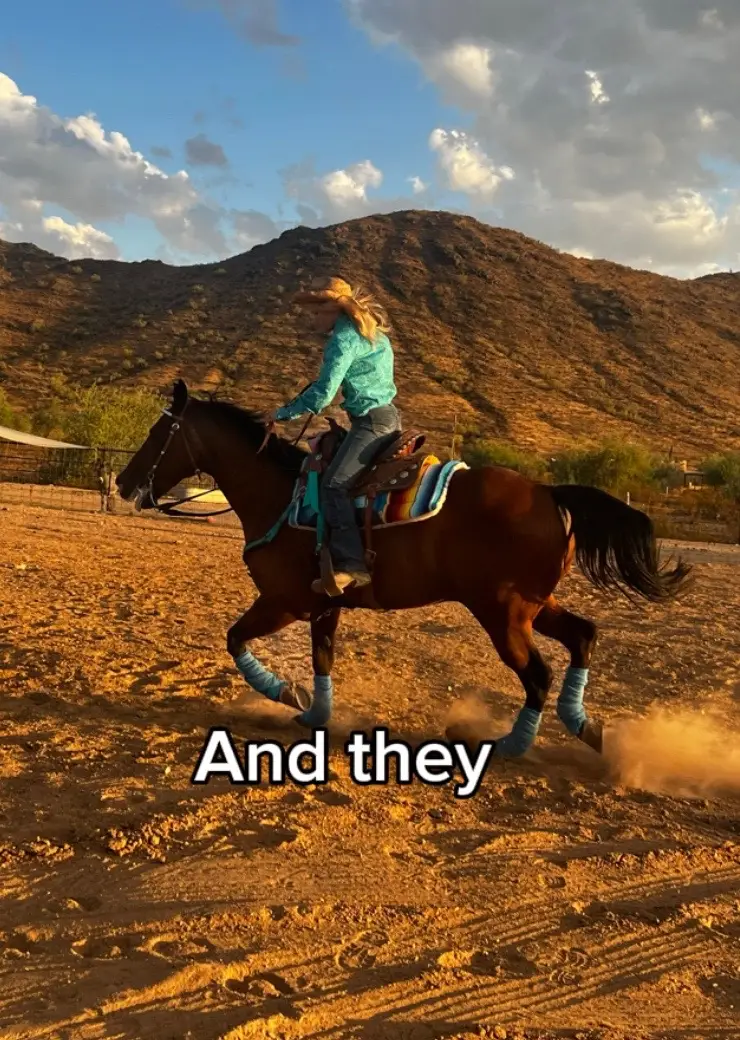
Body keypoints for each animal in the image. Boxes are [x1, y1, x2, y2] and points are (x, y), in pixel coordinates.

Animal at [116, 382, 694, 757]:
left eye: (158, 431)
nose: (123, 482)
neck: (279, 494)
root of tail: (549, 491)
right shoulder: (324, 605)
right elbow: (322, 659)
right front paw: (315, 713)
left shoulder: (284, 602)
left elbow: (235, 639)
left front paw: (287, 693)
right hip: (534, 606)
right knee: (582, 636)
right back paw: (583, 725)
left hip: (503, 613)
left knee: (538, 674)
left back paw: (511, 744)